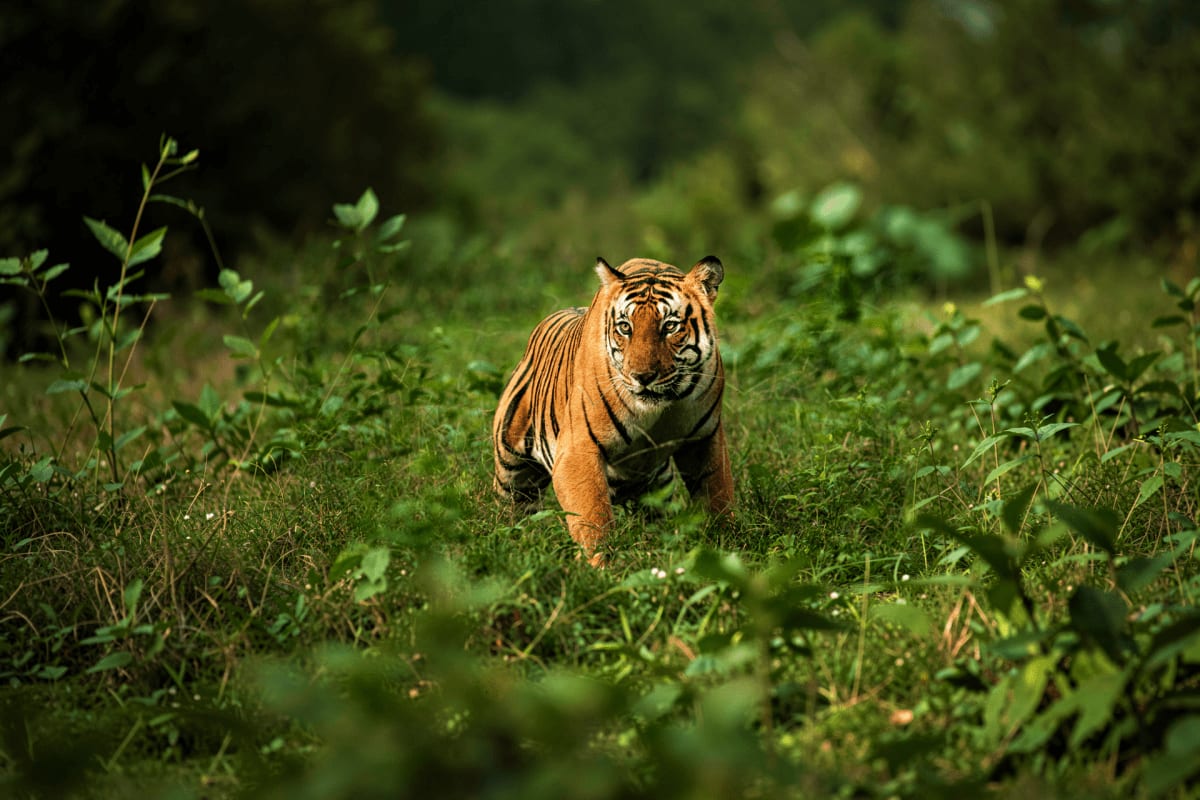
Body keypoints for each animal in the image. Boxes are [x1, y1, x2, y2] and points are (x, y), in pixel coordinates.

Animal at [492, 255, 733, 565]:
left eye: (670, 326)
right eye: (625, 327)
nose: (642, 376)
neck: (660, 409)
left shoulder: (705, 439)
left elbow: (718, 495)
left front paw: (729, 548)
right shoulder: (578, 451)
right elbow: (593, 518)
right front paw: (602, 568)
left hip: (657, 484)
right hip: (512, 471)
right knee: (514, 508)